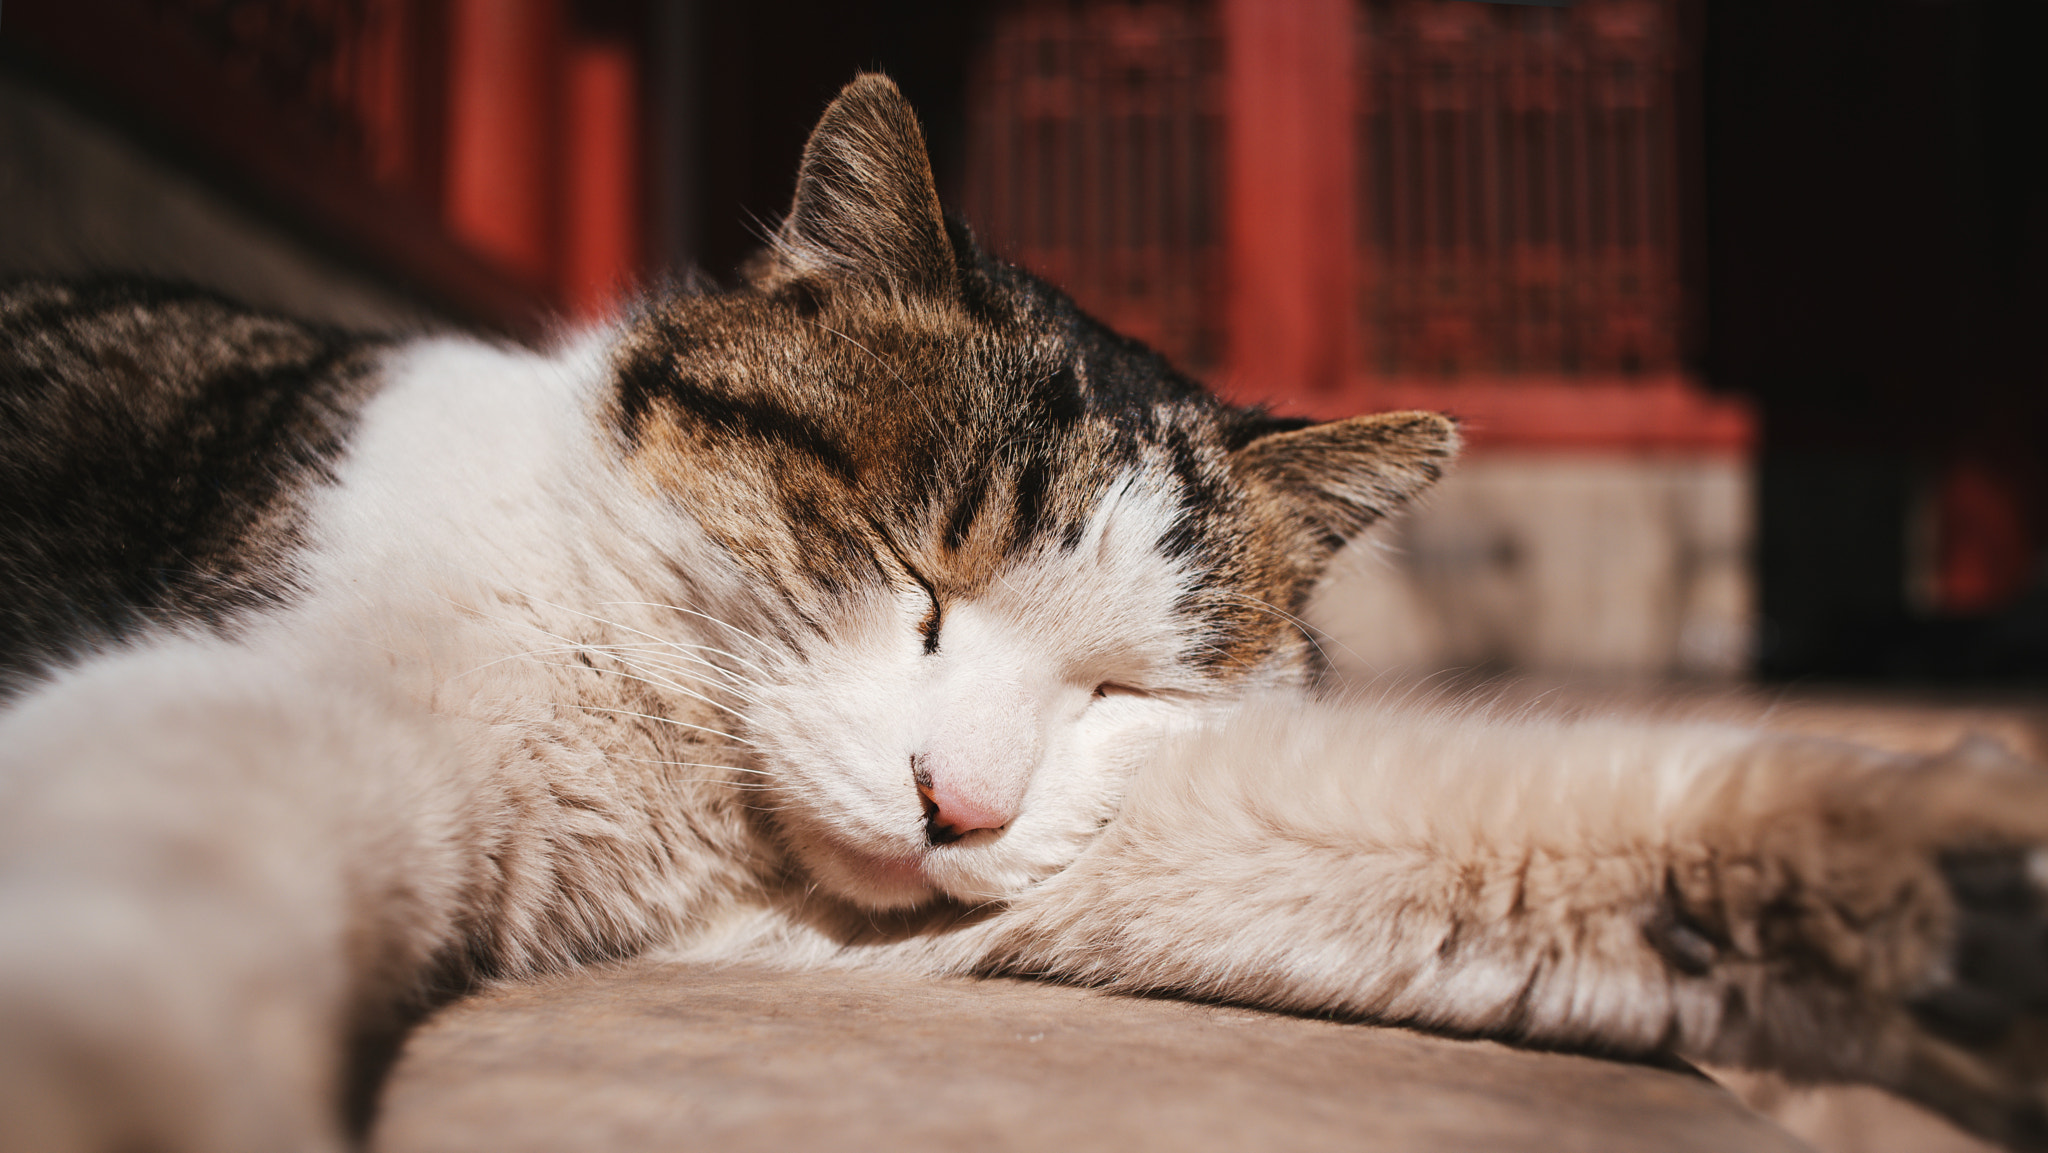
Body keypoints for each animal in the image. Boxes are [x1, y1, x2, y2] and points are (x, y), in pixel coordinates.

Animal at [4, 74, 2048, 1153]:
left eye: (1122, 687)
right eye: (919, 573)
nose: (959, 809)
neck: (687, 774)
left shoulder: (969, 885)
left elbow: (1418, 833)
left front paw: (1929, 891)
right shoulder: (289, 705)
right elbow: (153, 895)